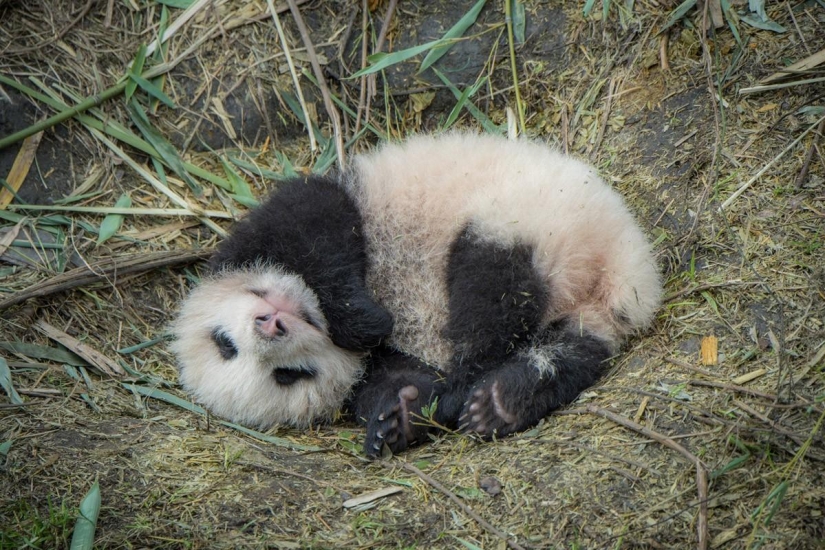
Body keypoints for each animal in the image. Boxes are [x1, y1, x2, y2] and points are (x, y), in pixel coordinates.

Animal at [170, 132, 662, 456]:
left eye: (223, 343)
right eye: (288, 375)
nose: (271, 325)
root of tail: (624, 275)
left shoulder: (282, 226)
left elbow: (319, 224)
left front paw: (364, 321)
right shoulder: (379, 365)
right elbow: (400, 377)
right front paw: (396, 420)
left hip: (530, 219)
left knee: (489, 294)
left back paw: (473, 391)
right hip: (582, 306)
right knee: (570, 348)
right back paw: (500, 401)